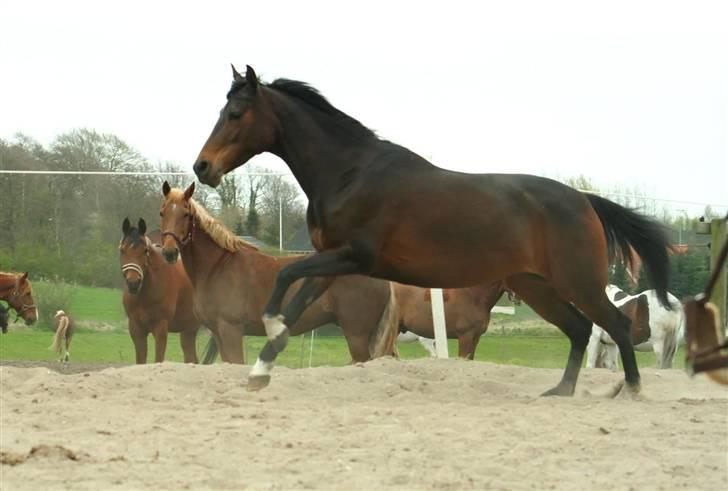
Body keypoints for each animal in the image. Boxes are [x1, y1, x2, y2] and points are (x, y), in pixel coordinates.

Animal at [121, 217, 202, 364]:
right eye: (122, 250)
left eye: (145, 251)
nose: (133, 283)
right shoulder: (136, 329)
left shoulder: (160, 328)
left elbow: (158, 359)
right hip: (189, 329)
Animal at [159, 184, 398, 366]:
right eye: (162, 212)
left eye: (186, 214)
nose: (169, 252)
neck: (217, 266)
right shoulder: (219, 333)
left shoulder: (231, 331)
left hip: (357, 336)